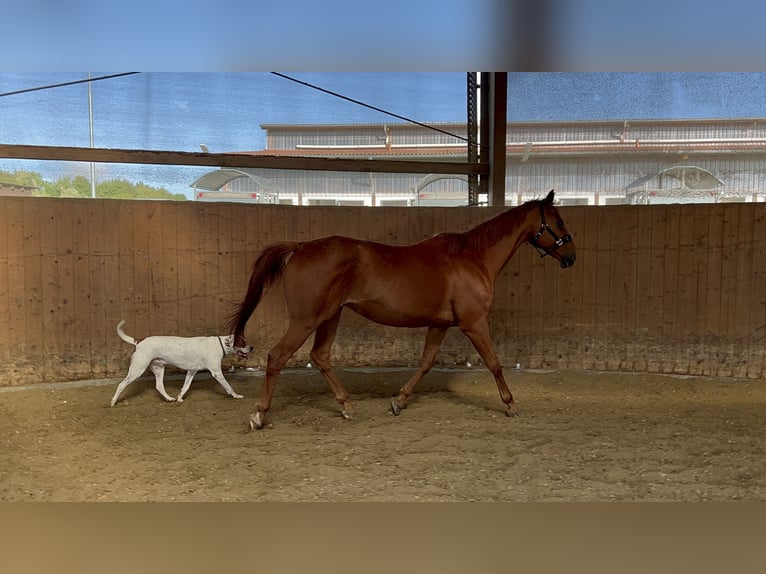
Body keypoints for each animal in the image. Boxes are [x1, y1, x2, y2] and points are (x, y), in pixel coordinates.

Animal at [111, 322, 255, 408]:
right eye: (242, 343)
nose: (251, 347)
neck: (219, 345)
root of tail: (139, 342)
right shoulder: (216, 373)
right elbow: (228, 386)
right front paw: (236, 396)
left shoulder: (192, 371)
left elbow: (185, 387)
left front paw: (180, 398)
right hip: (137, 370)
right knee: (121, 385)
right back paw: (113, 401)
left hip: (159, 369)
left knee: (159, 386)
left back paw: (170, 399)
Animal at [228, 191, 576, 430]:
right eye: (558, 221)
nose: (571, 256)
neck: (472, 258)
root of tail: (300, 247)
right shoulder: (474, 323)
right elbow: (494, 363)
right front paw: (511, 405)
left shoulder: (440, 324)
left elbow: (426, 363)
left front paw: (398, 401)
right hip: (306, 320)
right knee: (277, 357)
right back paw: (259, 414)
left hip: (330, 316)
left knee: (320, 356)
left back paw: (346, 406)